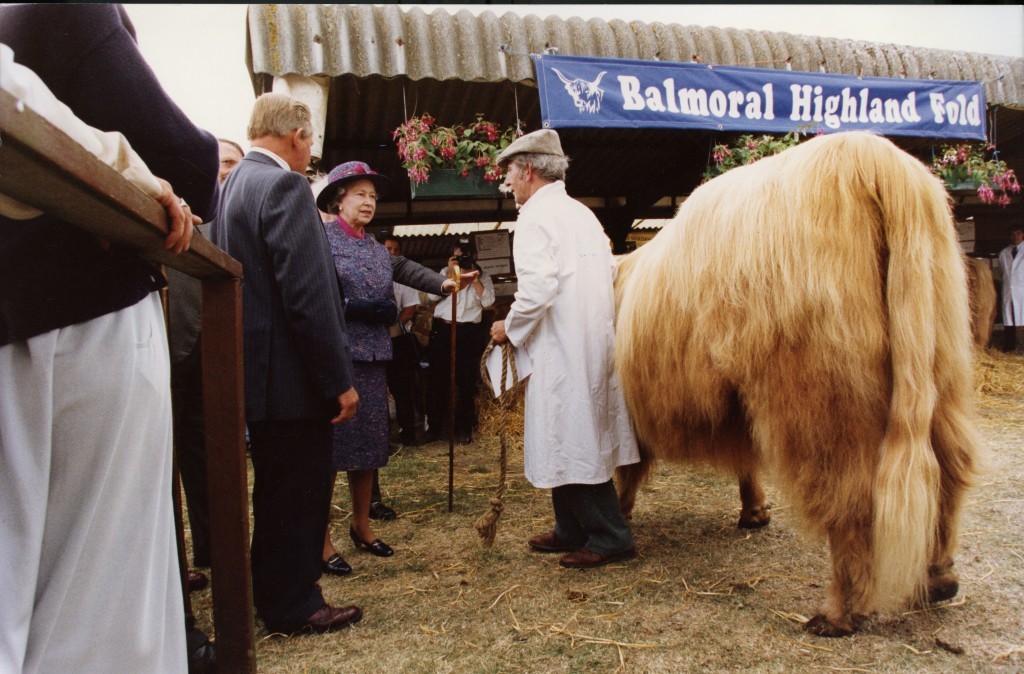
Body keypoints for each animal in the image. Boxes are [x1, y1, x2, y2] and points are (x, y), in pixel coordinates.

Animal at [614, 131, 983, 635]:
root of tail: (872, 157)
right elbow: (745, 459)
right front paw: (754, 511)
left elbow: (624, 468)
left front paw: (618, 512)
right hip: (940, 371)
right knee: (948, 473)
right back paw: (939, 579)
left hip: (823, 400)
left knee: (853, 498)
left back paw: (840, 612)